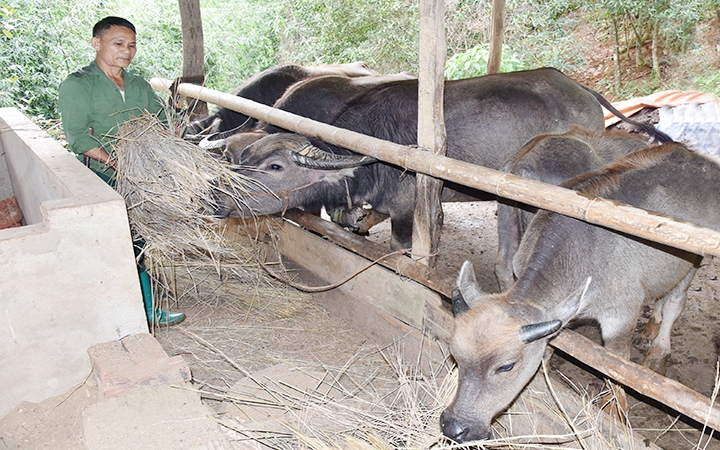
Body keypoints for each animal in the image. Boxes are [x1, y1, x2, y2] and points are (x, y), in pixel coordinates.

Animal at [442, 144, 720, 442]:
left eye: (506, 366)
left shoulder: (620, 316)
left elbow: (616, 368)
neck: (578, 256)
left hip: (692, 257)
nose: (454, 426)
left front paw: (614, 412)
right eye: (455, 354)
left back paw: (658, 351)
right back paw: (649, 331)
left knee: (675, 301)